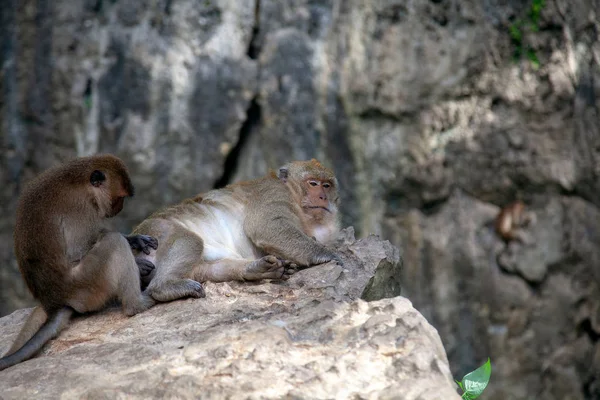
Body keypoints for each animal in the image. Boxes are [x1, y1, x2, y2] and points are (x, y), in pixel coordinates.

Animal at [0, 154, 157, 372]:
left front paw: (135, 239)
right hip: (88, 284)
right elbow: (80, 250)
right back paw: (137, 304)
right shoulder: (82, 209)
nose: (120, 208)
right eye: (120, 197)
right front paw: (138, 261)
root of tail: (57, 299)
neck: (80, 181)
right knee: (113, 242)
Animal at [131, 158, 342, 302]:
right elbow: (267, 227)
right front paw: (327, 254)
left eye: (327, 185)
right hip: (154, 231)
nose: (323, 197)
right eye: (313, 183)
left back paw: (258, 270)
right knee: (190, 240)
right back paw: (163, 288)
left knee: (214, 269)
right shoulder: (272, 192)